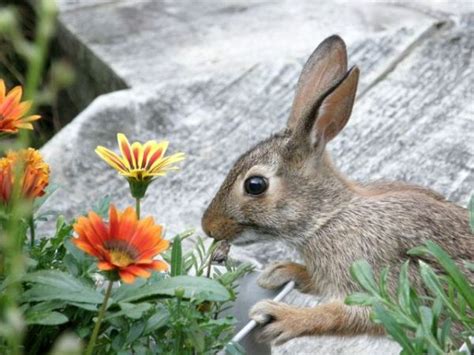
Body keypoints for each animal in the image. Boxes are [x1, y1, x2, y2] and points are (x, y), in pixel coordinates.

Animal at [201, 35, 474, 344]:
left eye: (255, 185)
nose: (207, 226)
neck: (328, 217)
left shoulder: (381, 284)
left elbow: (346, 314)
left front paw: (281, 316)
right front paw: (280, 272)